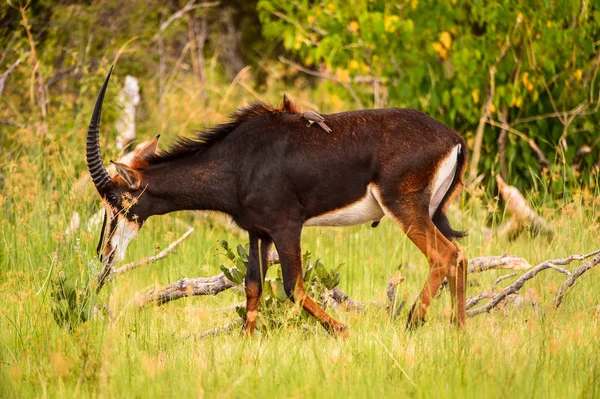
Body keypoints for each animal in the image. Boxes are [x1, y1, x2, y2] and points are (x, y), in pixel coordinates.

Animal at [86, 67, 466, 336]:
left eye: (117, 201)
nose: (105, 253)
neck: (239, 159)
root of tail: (453, 137)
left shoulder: (286, 227)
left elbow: (292, 286)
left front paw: (344, 331)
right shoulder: (259, 232)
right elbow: (252, 285)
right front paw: (246, 343)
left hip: (404, 207)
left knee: (445, 255)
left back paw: (413, 322)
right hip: (427, 211)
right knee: (459, 257)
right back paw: (458, 330)